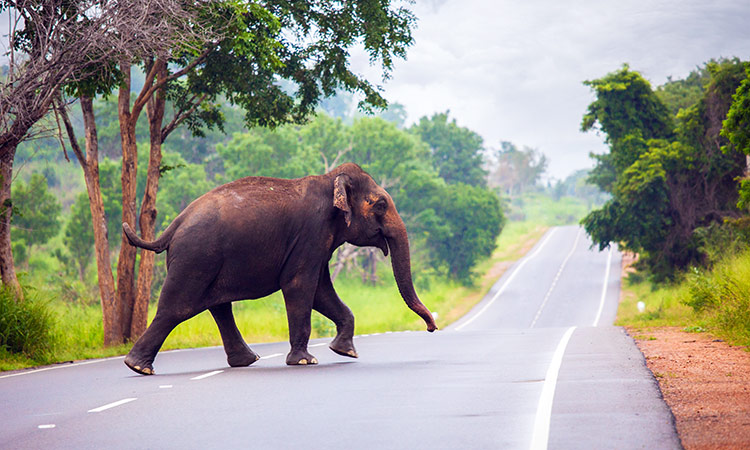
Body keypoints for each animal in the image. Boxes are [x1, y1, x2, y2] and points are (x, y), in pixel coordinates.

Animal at [121, 163, 438, 374]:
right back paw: (138, 367)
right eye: (381, 205)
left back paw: (246, 361)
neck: (330, 180)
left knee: (219, 307)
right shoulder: (311, 232)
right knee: (178, 307)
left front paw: (345, 351)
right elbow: (300, 286)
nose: (432, 327)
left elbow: (321, 292)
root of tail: (174, 225)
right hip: (196, 257)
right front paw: (305, 361)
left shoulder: (317, 242)